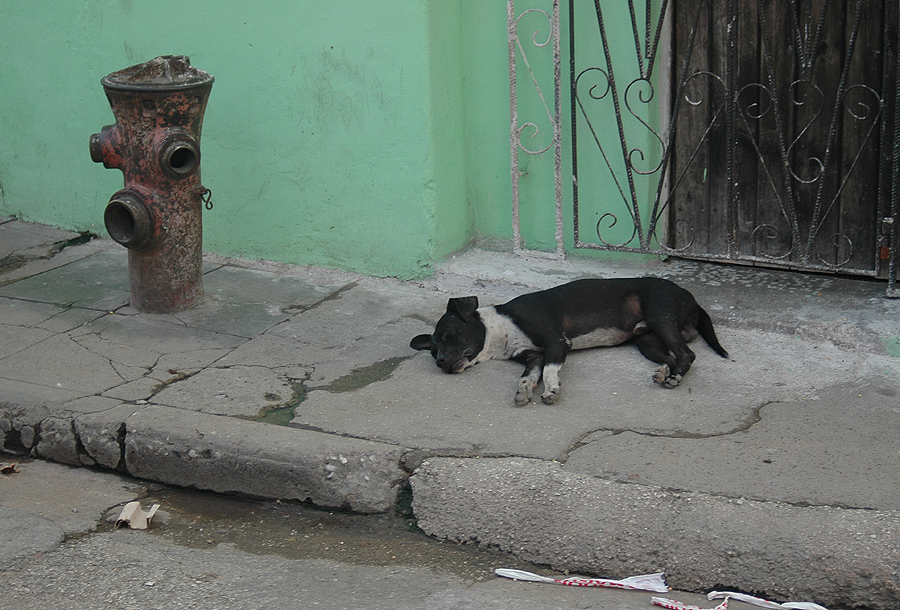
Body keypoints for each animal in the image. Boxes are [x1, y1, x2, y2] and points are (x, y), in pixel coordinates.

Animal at [412, 278, 728, 406]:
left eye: (448, 334)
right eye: (433, 351)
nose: (440, 362)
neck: (500, 327)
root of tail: (691, 297)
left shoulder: (557, 343)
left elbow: (551, 370)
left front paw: (551, 390)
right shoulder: (532, 356)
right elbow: (528, 376)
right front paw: (524, 390)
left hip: (661, 317)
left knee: (687, 355)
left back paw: (675, 377)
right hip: (646, 340)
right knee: (671, 356)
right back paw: (664, 372)